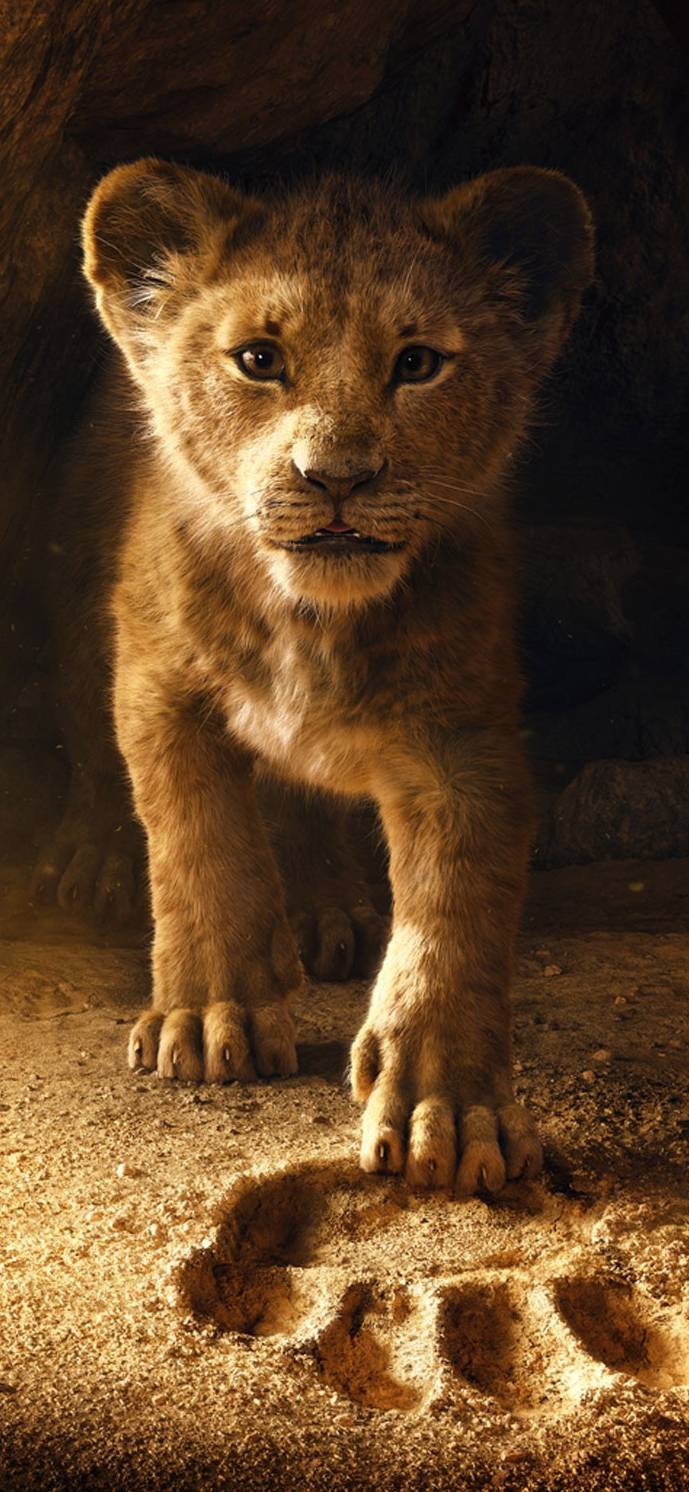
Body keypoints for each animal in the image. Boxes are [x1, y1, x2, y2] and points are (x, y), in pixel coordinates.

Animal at [33, 160, 593, 1195]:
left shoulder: (464, 736)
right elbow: (199, 845)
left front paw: (447, 1107)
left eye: (417, 363)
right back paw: (92, 861)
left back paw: (329, 908)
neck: (311, 620)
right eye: (258, 358)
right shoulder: (160, 684)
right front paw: (210, 1016)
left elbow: (454, 912)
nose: (336, 476)